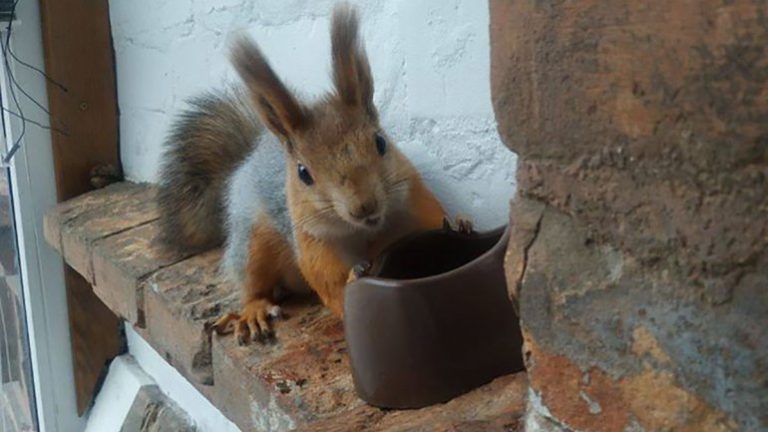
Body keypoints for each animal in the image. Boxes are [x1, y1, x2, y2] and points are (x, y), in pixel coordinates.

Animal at [157, 4, 466, 344]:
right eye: (303, 173)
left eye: (381, 142)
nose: (365, 206)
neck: (364, 231)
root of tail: (247, 161)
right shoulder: (312, 240)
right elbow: (332, 285)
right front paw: (352, 278)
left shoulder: (413, 202)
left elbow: (436, 223)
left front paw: (462, 224)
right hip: (252, 241)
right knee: (252, 283)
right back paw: (254, 311)